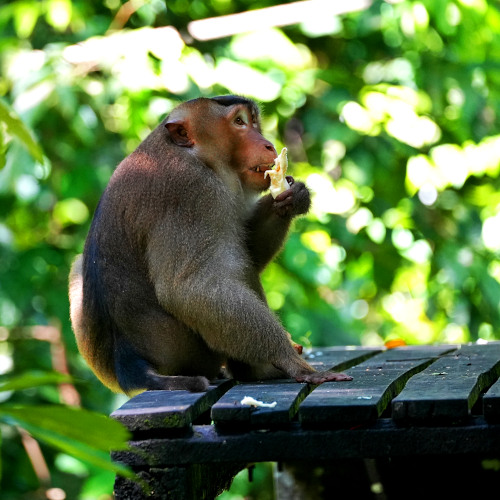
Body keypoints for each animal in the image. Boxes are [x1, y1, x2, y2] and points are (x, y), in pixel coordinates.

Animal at [69, 94, 352, 394]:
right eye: (239, 122)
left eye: (253, 122)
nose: (268, 144)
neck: (193, 155)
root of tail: (132, 366)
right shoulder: (193, 192)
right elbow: (192, 289)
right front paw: (291, 361)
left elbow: (249, 252)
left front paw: (292, 197)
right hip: (187, 352)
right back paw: (255, 370)